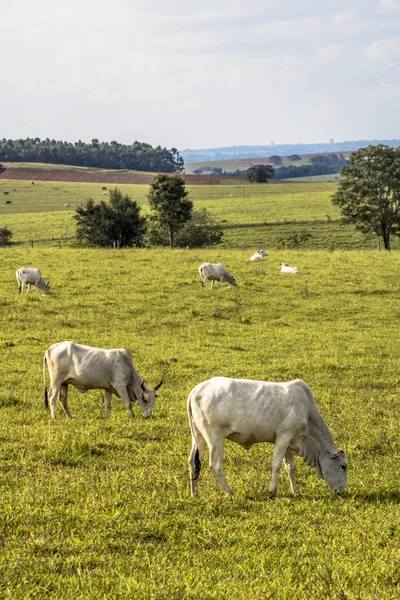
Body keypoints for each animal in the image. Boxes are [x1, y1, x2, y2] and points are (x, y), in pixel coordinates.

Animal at [188, 378, 346, 500]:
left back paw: (195, 493)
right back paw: (229, 491)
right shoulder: (284, 435)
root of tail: (196, 390)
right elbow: (276, 465)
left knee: (193, 462)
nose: (343, 491)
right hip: (215, 438)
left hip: (198, 436)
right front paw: (272, 490)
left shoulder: (289, 441)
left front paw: (296, 490)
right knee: (216, 465)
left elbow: (290, 467)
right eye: (343, 466)